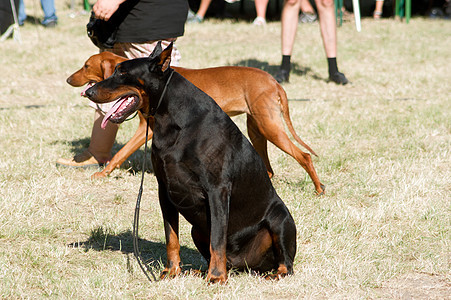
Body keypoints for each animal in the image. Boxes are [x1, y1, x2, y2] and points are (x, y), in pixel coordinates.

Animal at [66, 51, 324, 195]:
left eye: (86, 66)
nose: (68, 79)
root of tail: (274, 81)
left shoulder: (144, 131)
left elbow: (120, 154)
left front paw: (102, 173)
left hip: (270, 128)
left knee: (304, 156)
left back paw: (318, 188)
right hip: (257, 129)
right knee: (268, 168)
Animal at [85, 42, 298, 284]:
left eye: (122, 73)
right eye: (114, 70)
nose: (88, 92)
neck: (172, 122)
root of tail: (244, 265)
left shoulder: (217, 190)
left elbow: (217, 240)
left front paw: (216, 277)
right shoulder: (164, 189)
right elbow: (172, 237)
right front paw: (172, 271)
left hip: (281, 218)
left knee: (286, 262)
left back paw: (270, 273)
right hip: (197, 229)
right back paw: (201, 270)